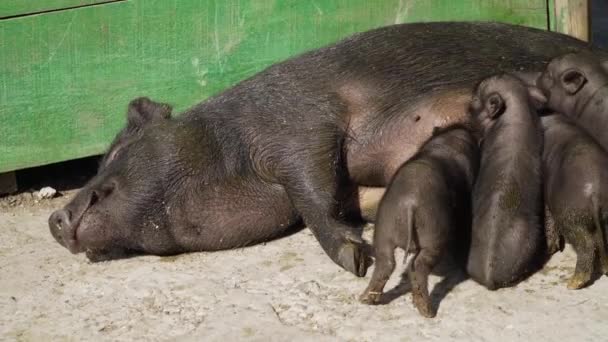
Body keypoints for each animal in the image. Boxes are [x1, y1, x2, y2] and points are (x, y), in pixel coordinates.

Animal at [358, 127, 478, 318]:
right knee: (418, 266)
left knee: (386, 262)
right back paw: (428, 312)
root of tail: (410, 203)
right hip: (433, 233)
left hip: (384, 226)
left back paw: (365, 299)